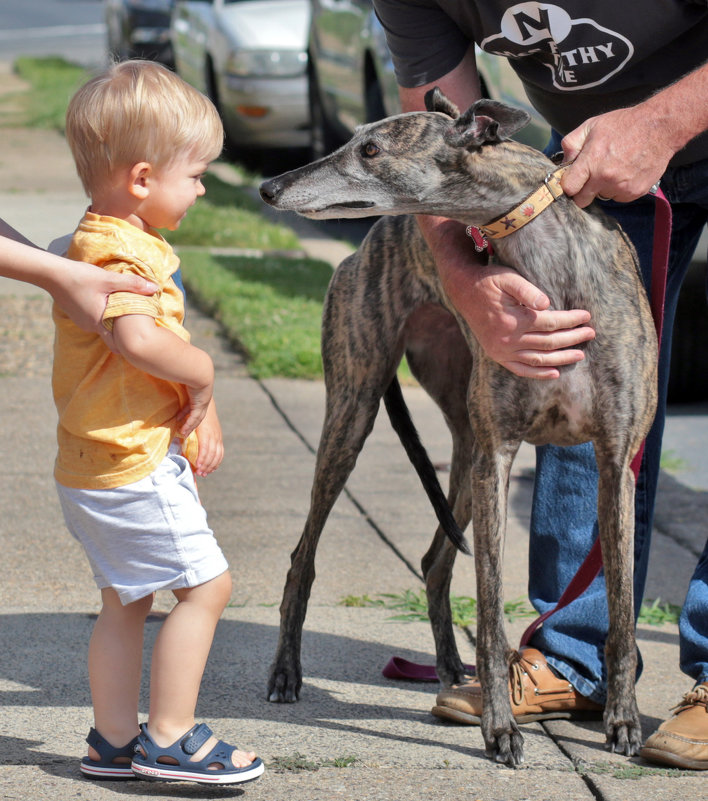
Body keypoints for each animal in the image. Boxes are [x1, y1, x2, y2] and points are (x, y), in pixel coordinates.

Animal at [258, 86, 660, 764]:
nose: (268, 186)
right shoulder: (500, 453)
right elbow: (493, 614)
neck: (548, 269)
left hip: (465, 453)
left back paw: (449, 671)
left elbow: (622, 610)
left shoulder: (614, 460)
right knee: (302, 560)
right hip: (356, 412)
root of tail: (366, 244)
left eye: (370, 149)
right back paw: (287, 672)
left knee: (433, 561)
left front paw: (624, 721)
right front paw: (500, 728)